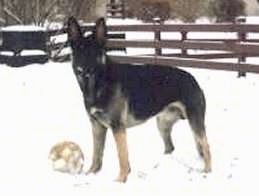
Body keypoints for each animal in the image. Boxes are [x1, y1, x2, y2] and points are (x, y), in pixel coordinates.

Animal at [67, 16, 211, 182]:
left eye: (93, 52)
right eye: (79, 51)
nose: (83, 70)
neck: (100, 83)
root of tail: (193, 79)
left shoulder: (118, 128)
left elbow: (122, 156)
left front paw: (121, 180)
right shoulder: (97, 127)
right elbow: (96, 154)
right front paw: (90, 174)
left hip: (194, 123)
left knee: (206, 146)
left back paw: (207, 171)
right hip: (162, 124)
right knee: (170, 147)